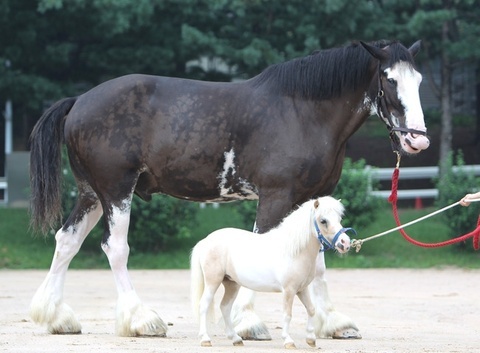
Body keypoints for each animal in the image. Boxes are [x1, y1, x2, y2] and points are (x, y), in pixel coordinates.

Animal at [190, 197, 352, 348]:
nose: (345, 243)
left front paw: (311, 339)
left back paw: (236, 339)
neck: (293, 251)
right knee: (204, 305)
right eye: (323, 221)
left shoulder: (302, 289)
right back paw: (205, 339)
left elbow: (311, 309)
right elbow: (287, 315)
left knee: (225, 307)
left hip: (231, 284)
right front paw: (288, 341)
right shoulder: (289, 290)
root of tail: (205, 241)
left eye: (339, 219)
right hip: (213, 282)